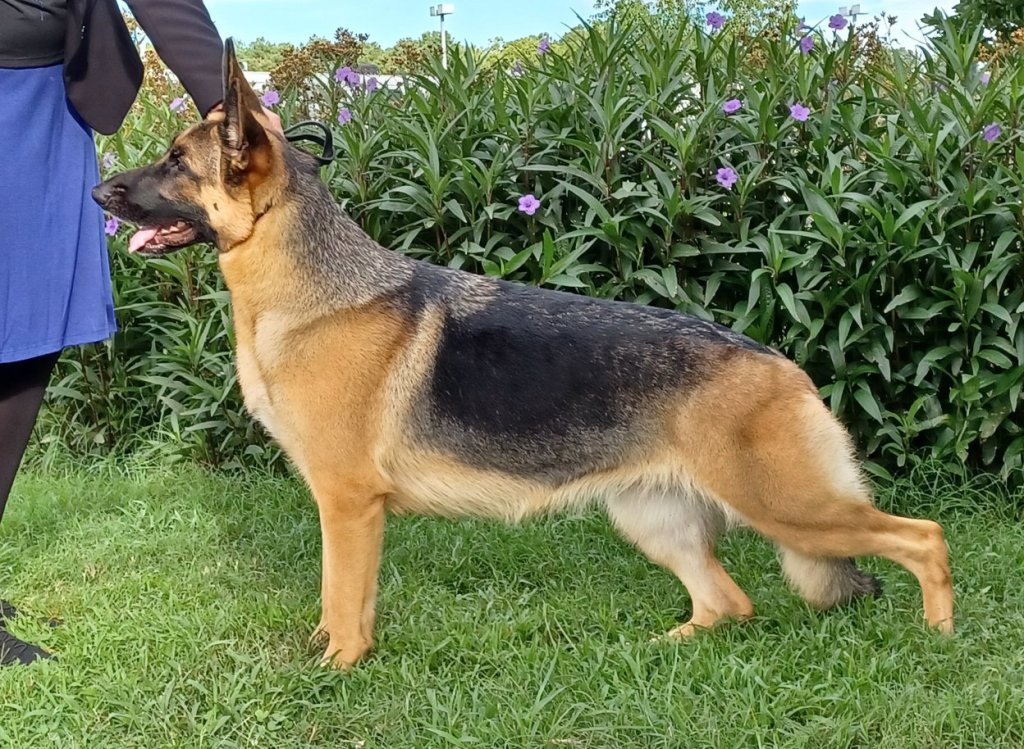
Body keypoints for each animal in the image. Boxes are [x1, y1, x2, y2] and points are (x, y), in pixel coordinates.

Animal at [93, 40, 954, 668]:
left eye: (175, 161)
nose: (100, 191)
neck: (307, 288)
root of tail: (782, 365)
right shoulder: (353, 511)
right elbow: (346, 600)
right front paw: (334, 655)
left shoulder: (347, 505)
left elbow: (341, 599)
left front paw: (334, 669)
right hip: (656, 518)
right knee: (727, 603)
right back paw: (653, 650)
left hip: (790, 508)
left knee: (923, 536)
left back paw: (940, 637)